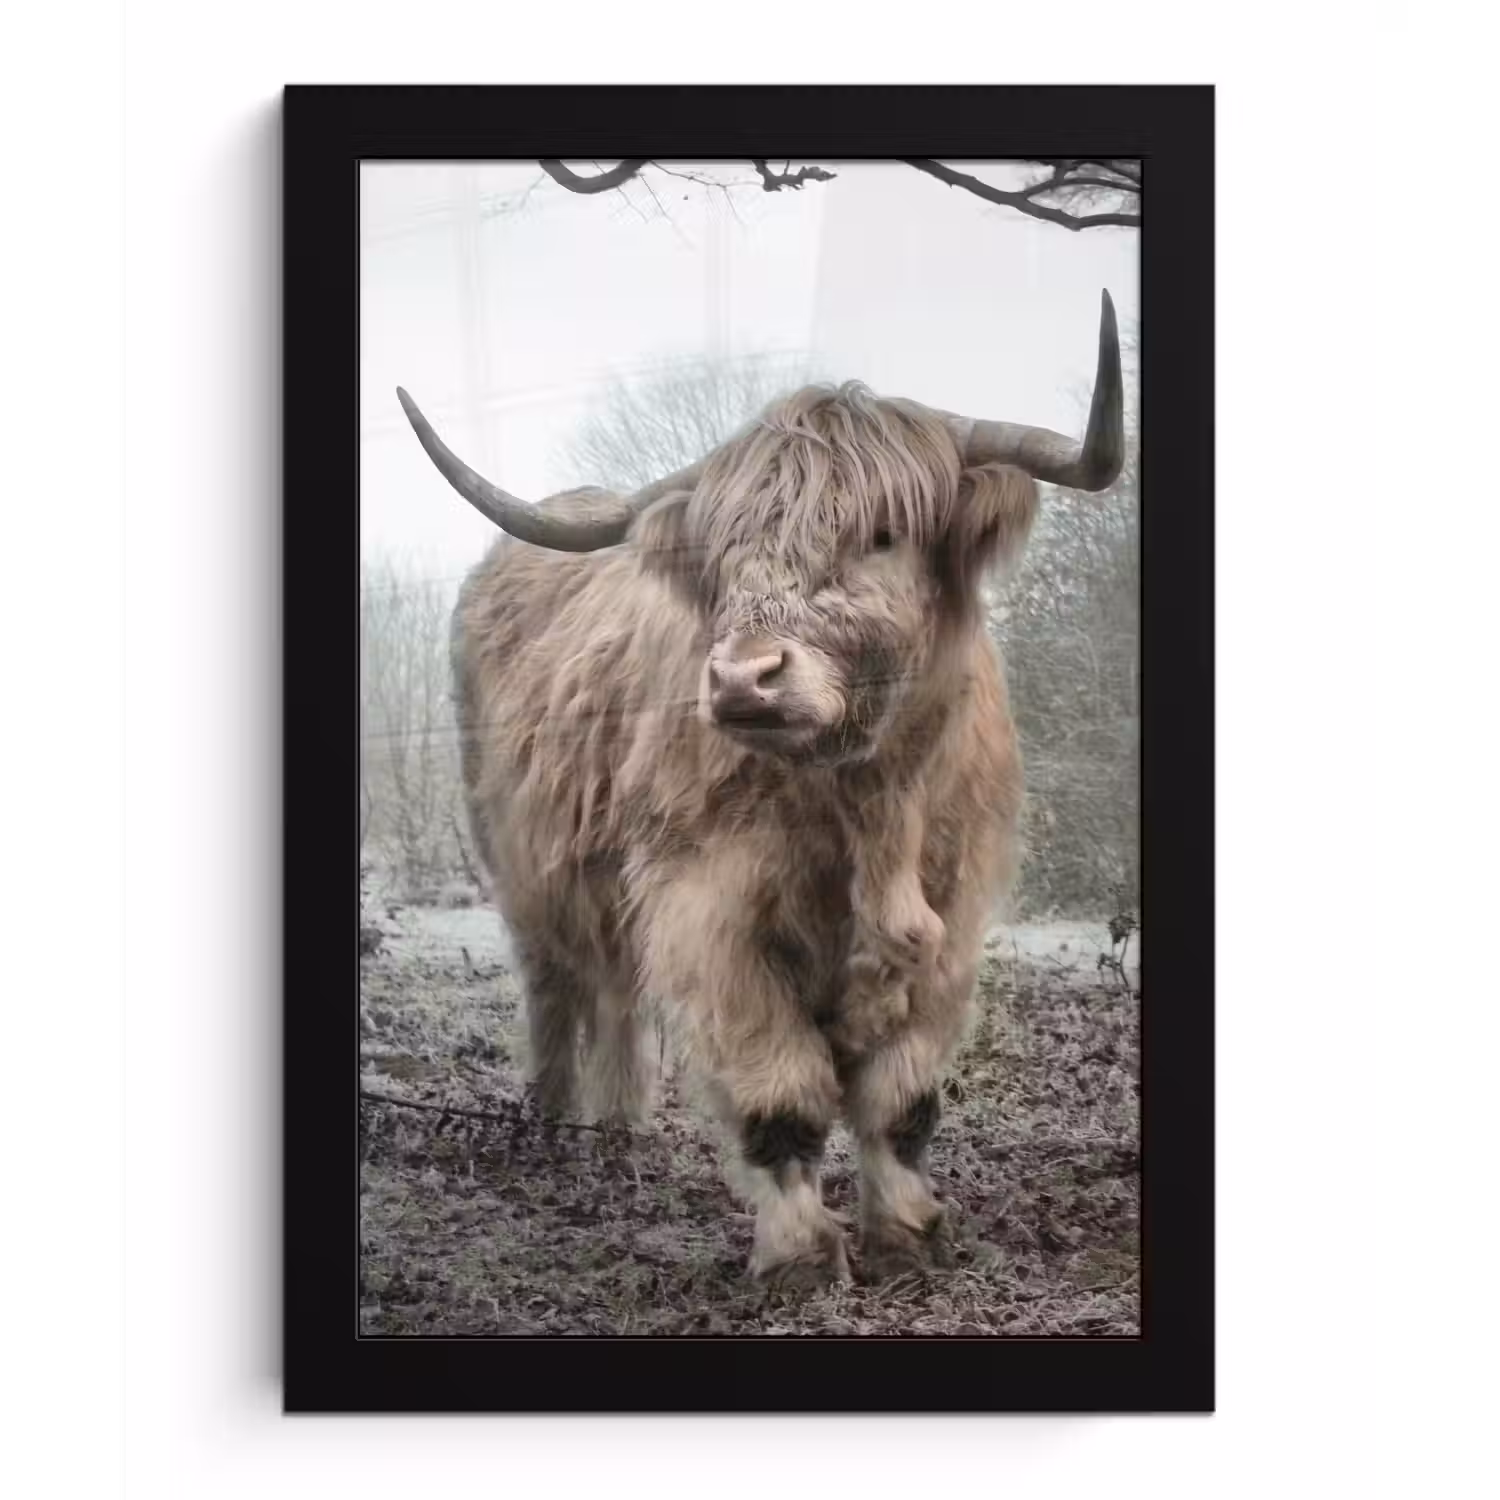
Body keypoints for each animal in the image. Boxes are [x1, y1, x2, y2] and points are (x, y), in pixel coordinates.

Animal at [394, 290, 1124, 1287]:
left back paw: (620, 1131)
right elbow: (781, 1093)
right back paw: (553, 1126)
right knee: (555, 986)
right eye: (725, 554)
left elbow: (902, 1099)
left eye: (882, 535)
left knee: (616, 993)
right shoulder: (711, 911)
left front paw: (908, 1235)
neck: (869, 802)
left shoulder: (954, 914)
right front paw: (800, 1256)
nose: (744, 679)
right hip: (519, 863)